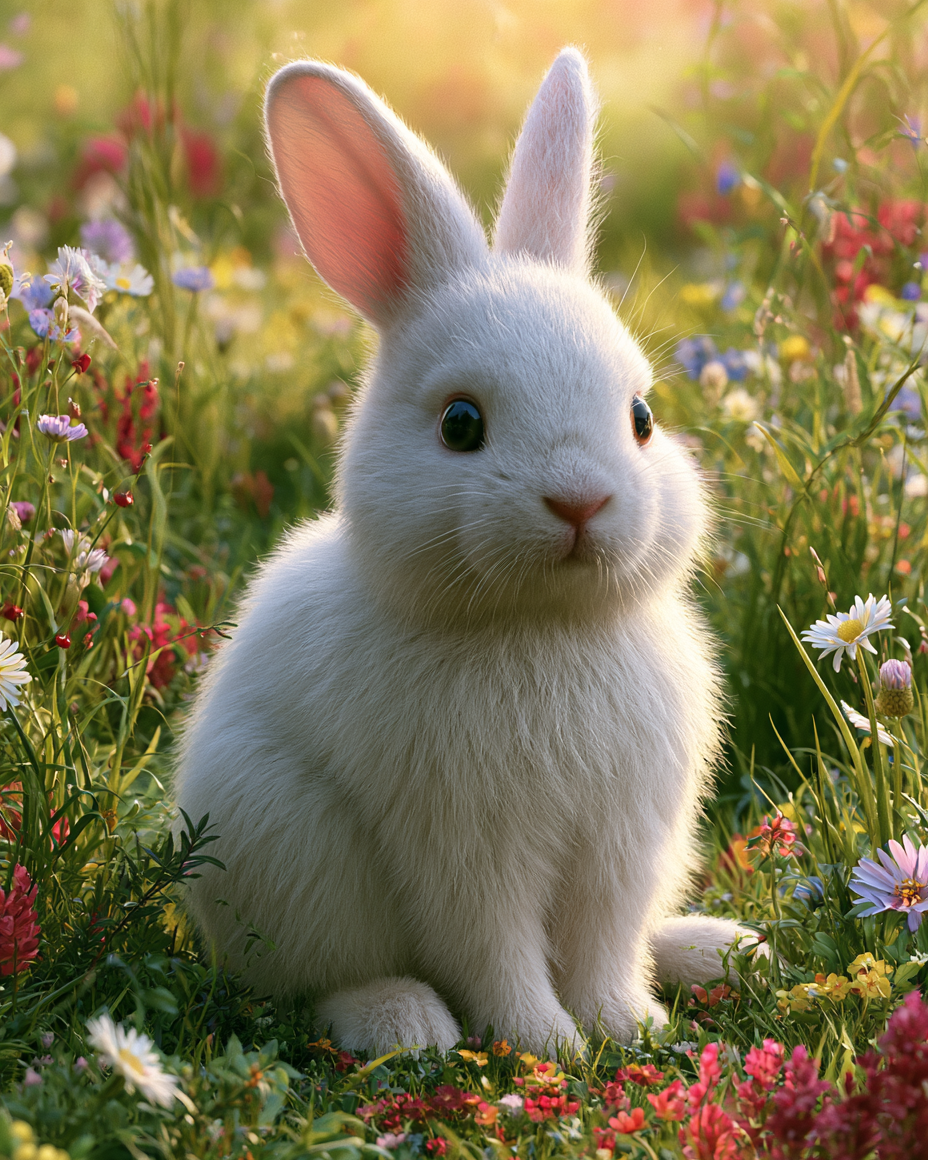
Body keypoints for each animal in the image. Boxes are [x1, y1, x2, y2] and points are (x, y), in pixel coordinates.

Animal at [174, 46, 756, 1058]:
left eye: (642, 417)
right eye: (459, 425)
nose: (580, 499)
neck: (543, 626)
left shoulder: (622, 843)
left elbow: (604, 946)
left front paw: (627, 1028)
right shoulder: (464, 851)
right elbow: (494, 951)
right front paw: (546, 1044)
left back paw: (718, 949)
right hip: (290, 863)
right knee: (315, 980)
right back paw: (404, 1023)